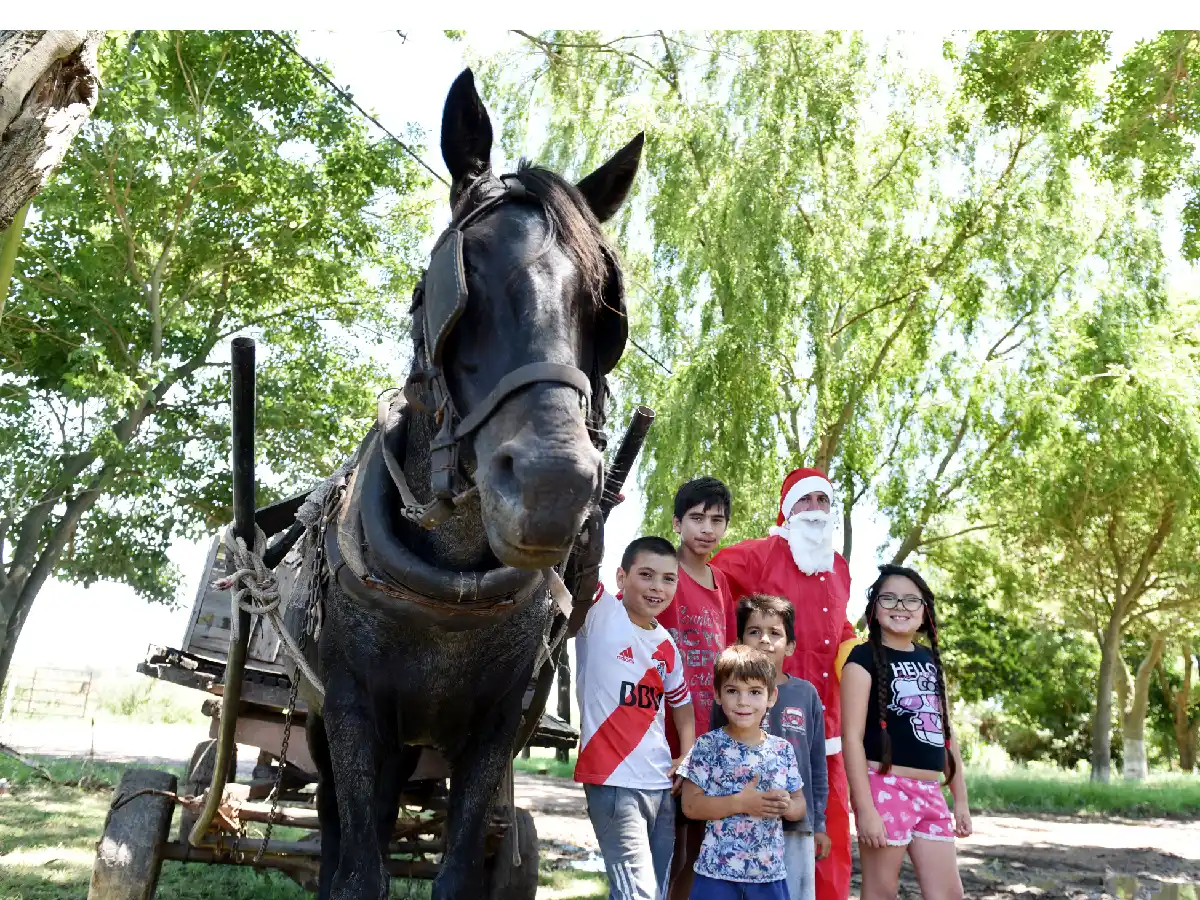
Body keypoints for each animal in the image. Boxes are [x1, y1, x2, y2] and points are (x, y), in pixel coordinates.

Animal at [299, 69, 643, 900]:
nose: (553, 486)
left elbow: (456, 872)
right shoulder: (353, 712)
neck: (449, 590)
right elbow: (360, 873)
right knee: (337, 830)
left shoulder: (498, 729)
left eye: (602, 305)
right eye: (462, 274)